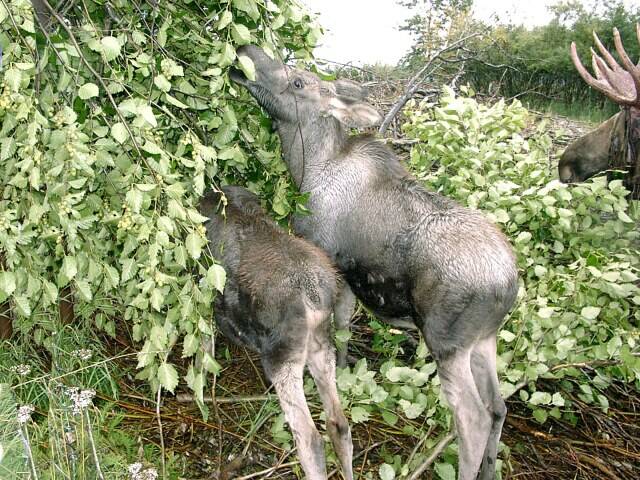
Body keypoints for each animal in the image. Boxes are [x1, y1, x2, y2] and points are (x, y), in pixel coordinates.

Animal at [199, 186, 353, 480]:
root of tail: (313, 298)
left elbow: (203, 352)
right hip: (320, 345)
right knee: (339, 423)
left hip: (282, 356)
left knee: (309, 437)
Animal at [230, 46, 518, 480]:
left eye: (298, 81)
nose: (245, 50)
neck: (308, 167)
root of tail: (510, 285)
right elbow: (345, 331)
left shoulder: (333, 264)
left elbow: (340, 329)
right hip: (485, 339)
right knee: (499, 407)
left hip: (447, 342)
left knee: (473, 419)